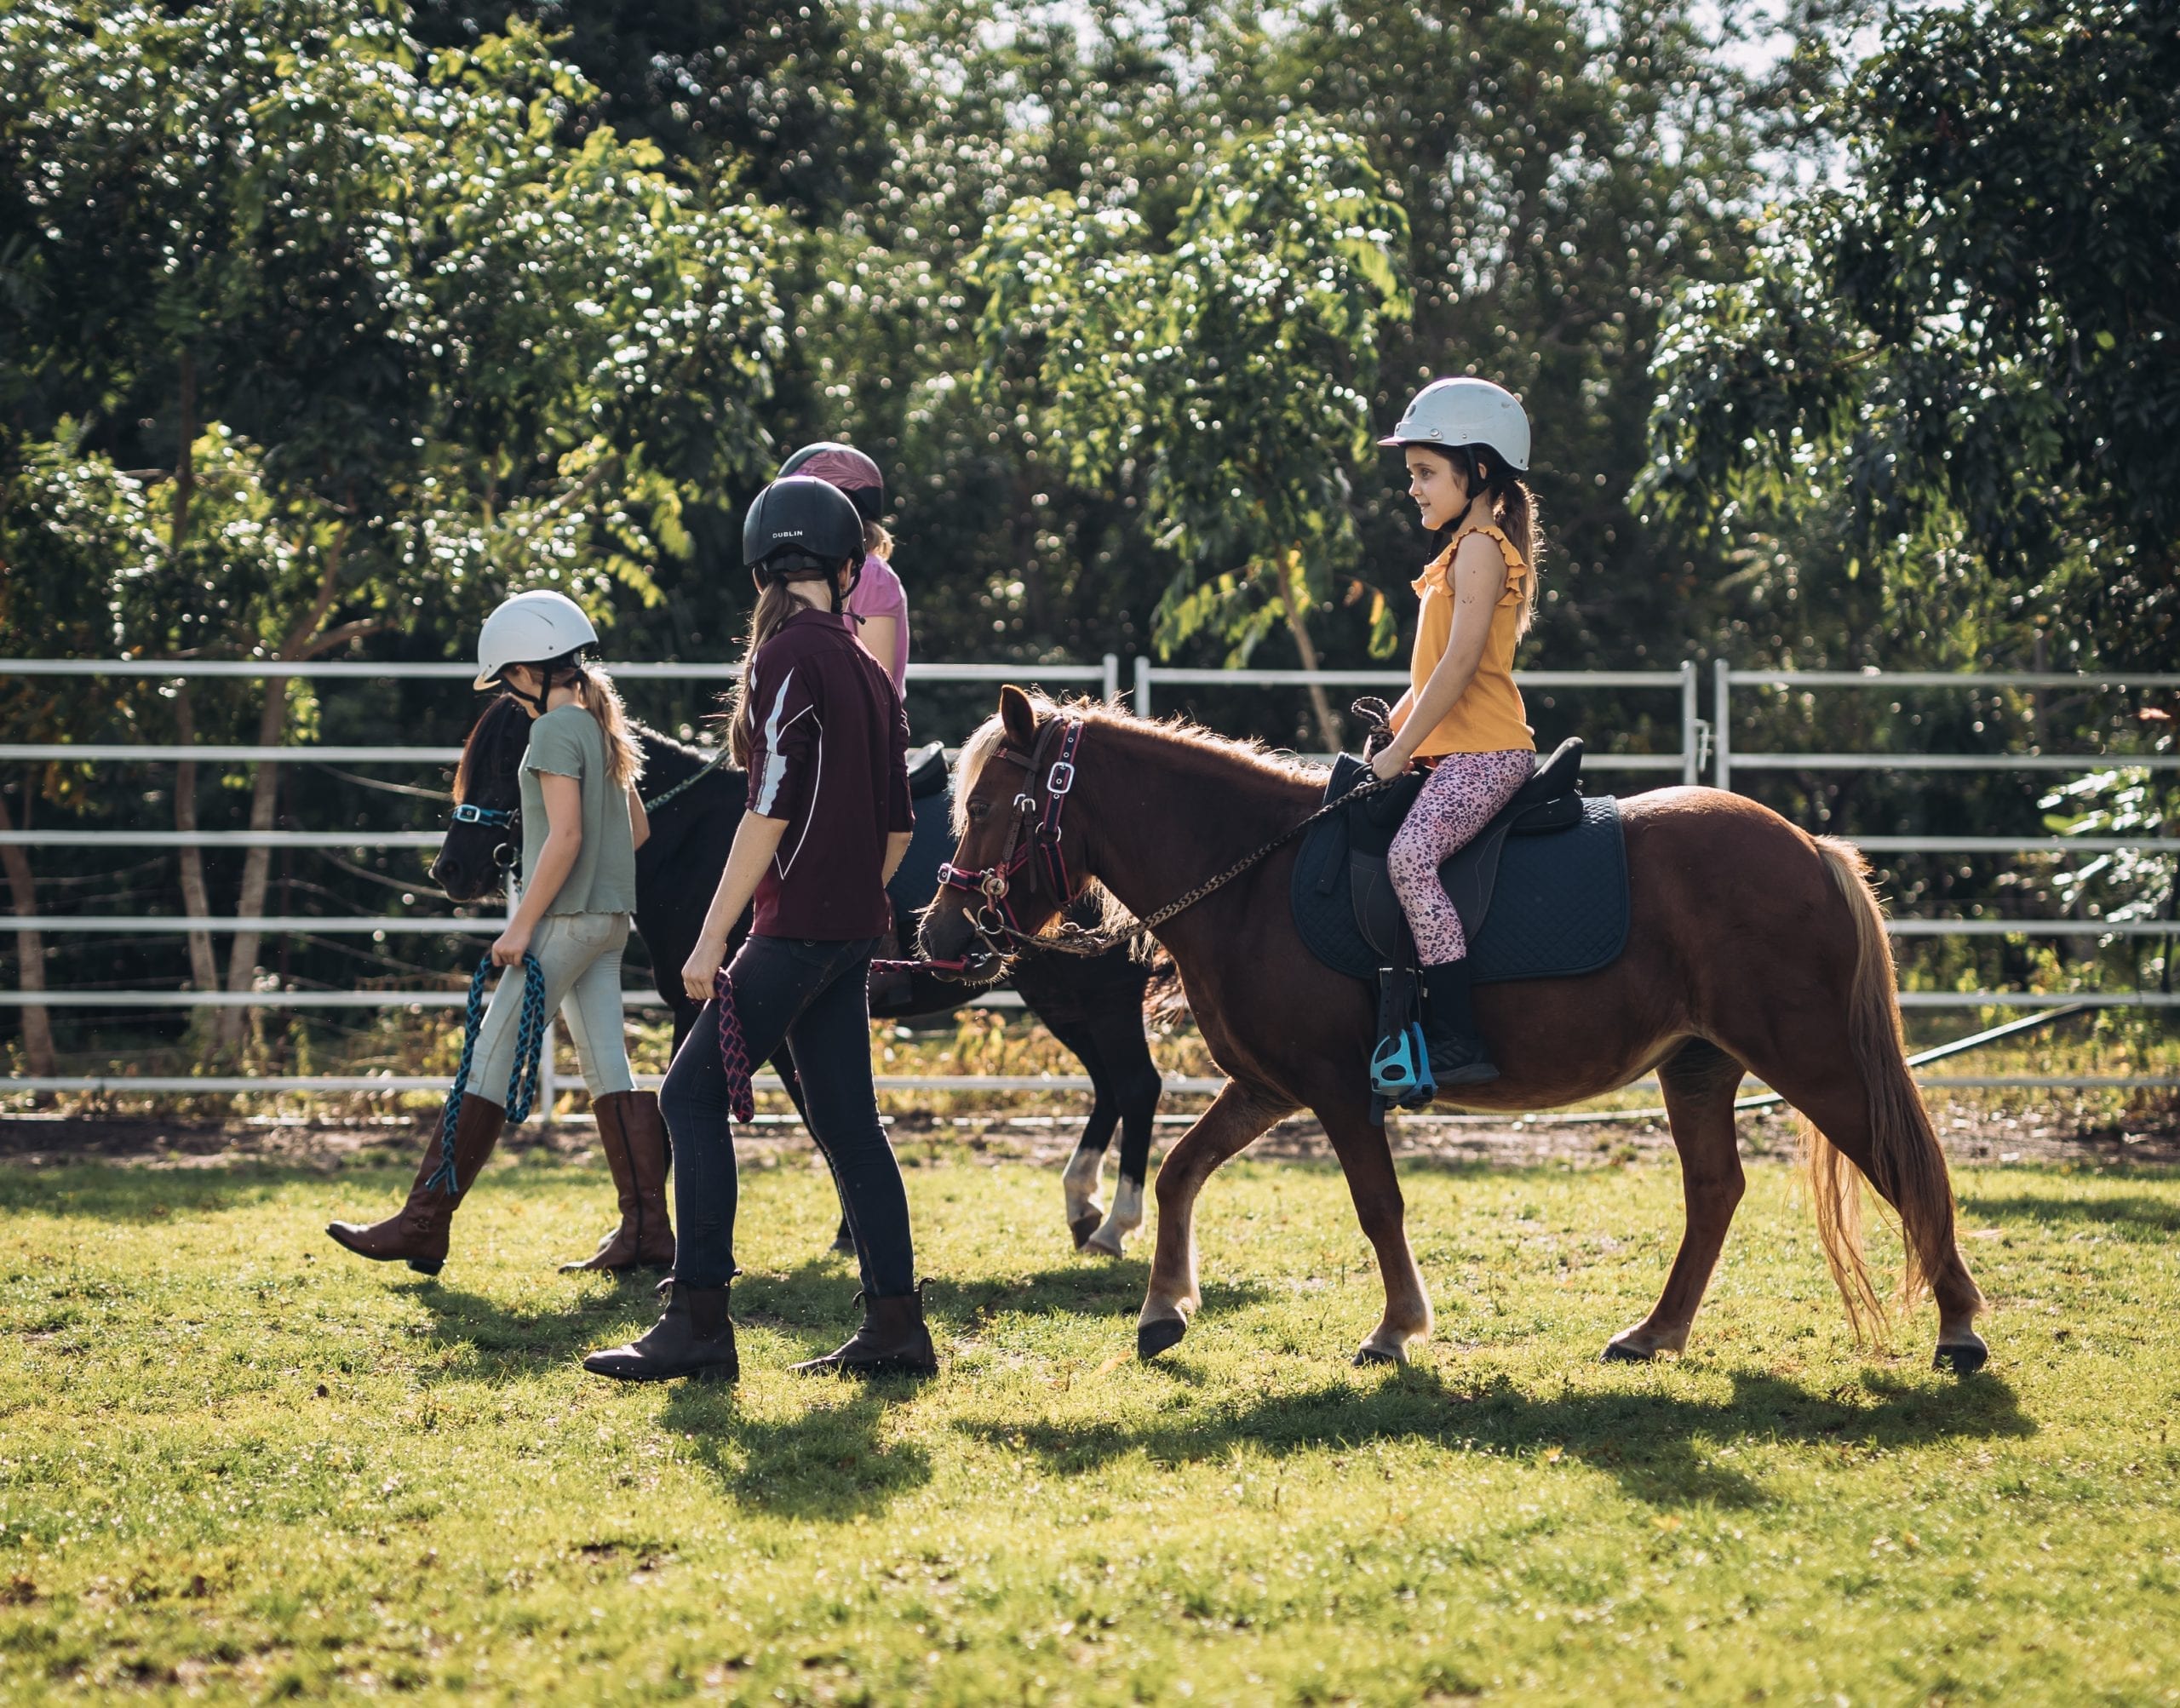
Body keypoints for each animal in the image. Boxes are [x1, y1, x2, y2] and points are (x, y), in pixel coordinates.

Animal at [431, 692, 1168, 1254]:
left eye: (509, 762)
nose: (449, 870)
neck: (698, 838)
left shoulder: (719, 1009)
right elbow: (814, 1120)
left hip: (1098, 995)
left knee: (1137, 1084)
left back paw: (1116, 1224)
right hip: (1059, 995)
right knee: (1108, 1086)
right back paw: (1082, 1207)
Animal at [920, 688, 1996, 1367]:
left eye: (997, 805)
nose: (938, 933)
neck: (1256, 874)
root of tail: (1809, 846)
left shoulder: (1335, 1086)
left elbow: (1377, 1205)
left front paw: (1395, 1328)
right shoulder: (1269, 1082)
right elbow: (1184, 1169)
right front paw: (1160, 1309)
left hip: (1807, 1054)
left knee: (1900, 1163)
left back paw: (1958, 1329)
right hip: (1697, 1065)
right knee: (1714, 1192)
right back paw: (1654, 1333)